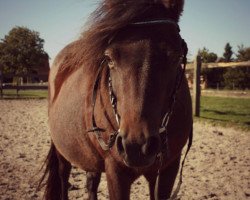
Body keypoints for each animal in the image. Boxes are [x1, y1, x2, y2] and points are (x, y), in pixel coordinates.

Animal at [39, 0, 192, 199]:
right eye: (109, 58)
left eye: (176, 57)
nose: (137, 146)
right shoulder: (116, 172)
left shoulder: (168, 169)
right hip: (62, 151)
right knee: (63, 176)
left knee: (91, 183)